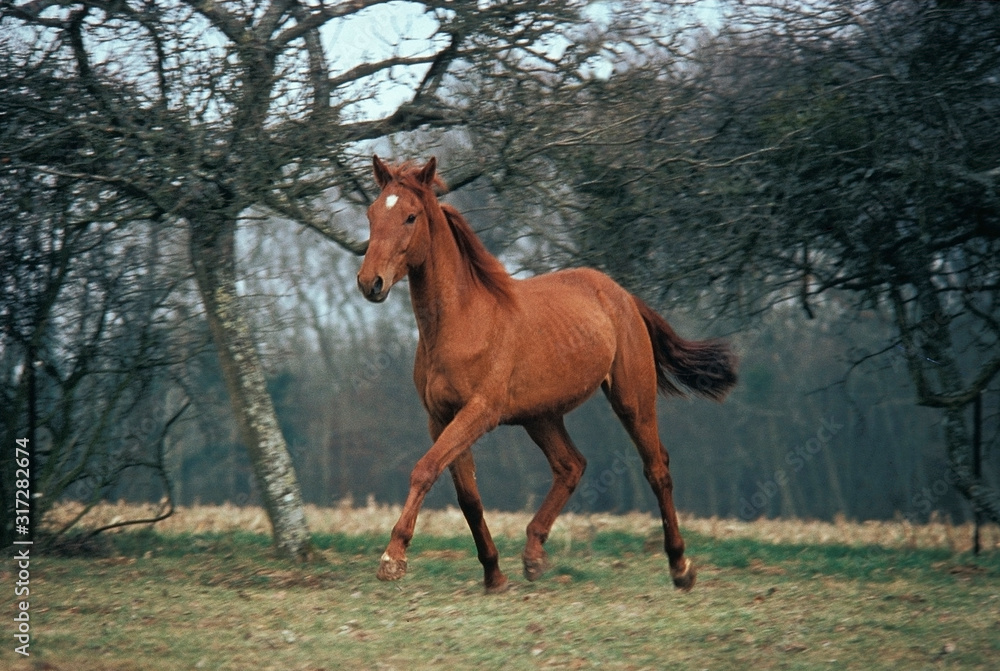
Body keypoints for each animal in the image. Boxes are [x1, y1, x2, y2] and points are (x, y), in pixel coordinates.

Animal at [358, 156, 736, 592]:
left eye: (410, 216)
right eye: (372, 214)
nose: (370, 283)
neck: (462, 322)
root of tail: (622, 295)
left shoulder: (480, 412)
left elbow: (424, 470)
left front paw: (393, 559)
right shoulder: (441, 418)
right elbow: (467, 495)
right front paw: (494, 575)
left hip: (632, 400)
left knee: (656, 468)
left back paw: (681, 567)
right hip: (540, 416)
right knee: (571, 465)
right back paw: (534, 555)